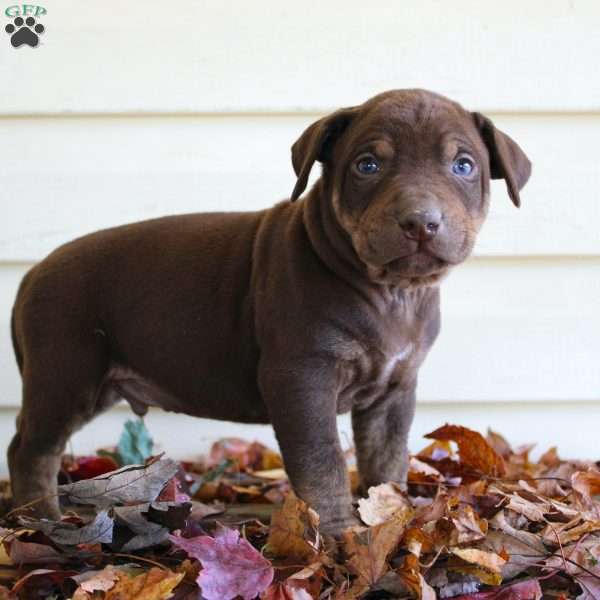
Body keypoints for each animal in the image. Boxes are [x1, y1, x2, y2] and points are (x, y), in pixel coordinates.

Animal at [7, 88, 528, 528]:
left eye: (463, 166)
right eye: (366, 166)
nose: (421, 221)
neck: (391, 291)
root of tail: (31, 275)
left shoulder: (394, 390)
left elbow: (385, 461)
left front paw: (386, 517)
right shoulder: (302, 376)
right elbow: (322, 465)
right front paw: (341, 536)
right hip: (65, 372)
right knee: (30, 450)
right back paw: (40, 521)